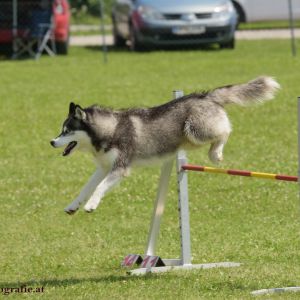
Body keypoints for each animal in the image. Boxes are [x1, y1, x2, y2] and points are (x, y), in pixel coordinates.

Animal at [50, 76, 280, 214]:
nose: (52, 141)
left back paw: (216, 153)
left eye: (67, 131)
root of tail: (205, 95)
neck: (110, 129)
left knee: (225, 130)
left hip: (194, 130)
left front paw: (91, 205)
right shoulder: (104, 167)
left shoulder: (120, 168)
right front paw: (74, 205)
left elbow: (99, 188)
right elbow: (87, 187)